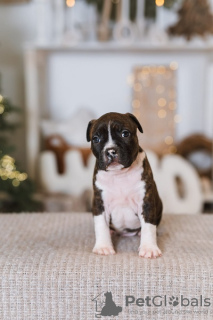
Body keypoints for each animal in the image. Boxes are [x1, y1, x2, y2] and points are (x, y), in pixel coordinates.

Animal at [85, 112, 162, 258]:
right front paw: (103, 246)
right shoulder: (99, 203)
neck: (119, 175)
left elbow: (149, 227)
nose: (110, 151)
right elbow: (101, 225)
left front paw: (149, 248)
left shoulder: (146, 202)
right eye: (96, 139)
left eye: (125, 134)